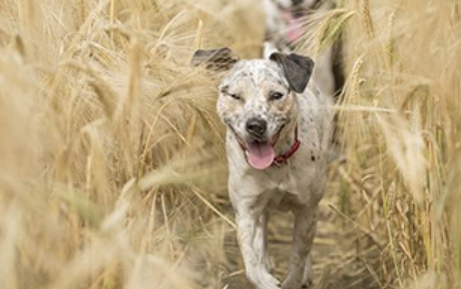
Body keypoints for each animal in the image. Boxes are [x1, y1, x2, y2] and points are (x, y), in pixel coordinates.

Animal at [192, 48, 332, 286]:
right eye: (236, 96)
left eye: (276, 95)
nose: (256, 125)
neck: (276, 163)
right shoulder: (246, 209)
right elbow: (251, 262)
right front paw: (265, 278)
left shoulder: (306, 210)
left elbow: (298, 259)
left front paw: (295, 278)